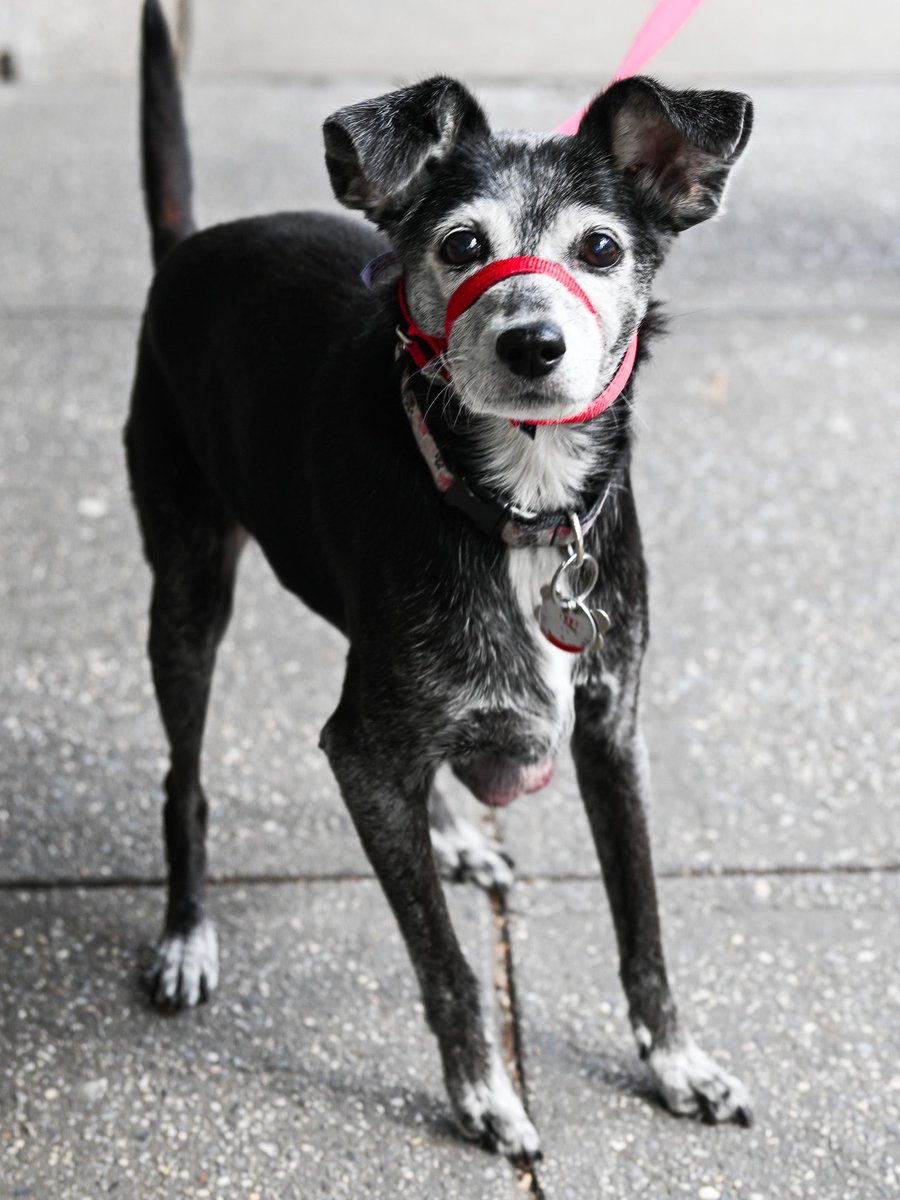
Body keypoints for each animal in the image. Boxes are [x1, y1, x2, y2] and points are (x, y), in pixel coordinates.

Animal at [127, 0, 758, 1156]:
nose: (534, 343)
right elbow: (446, 961)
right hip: (185, 589)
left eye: (602, 248)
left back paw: (454, 833)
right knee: (182, 780)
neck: (520, 511)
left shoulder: (612, 730)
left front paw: (678, 1064)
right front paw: (483, 1092)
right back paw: (187, 936)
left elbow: (642, 923)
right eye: (462, 245)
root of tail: (189, 245)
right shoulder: (362, 752)